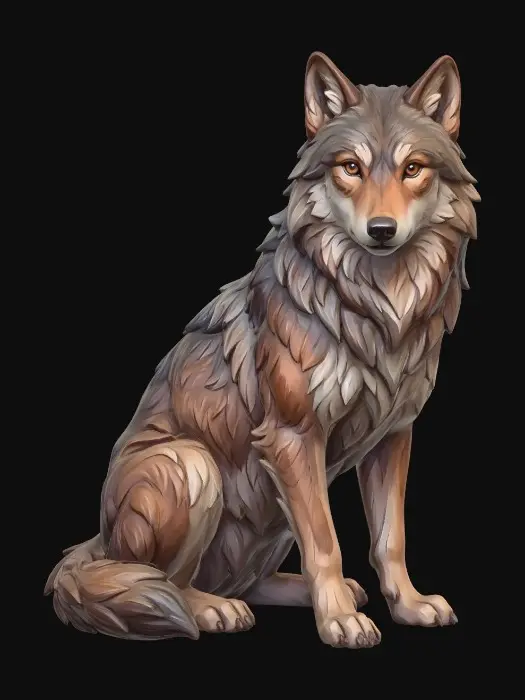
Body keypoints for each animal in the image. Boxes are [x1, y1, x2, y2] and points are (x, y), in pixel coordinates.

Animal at [45, 53, 478, 649]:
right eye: (351, 167)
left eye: (413, 168)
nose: (381, 230)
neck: (374, 305)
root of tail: (96, 542)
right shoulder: (293, 437)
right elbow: (326, 542)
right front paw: (339, 621)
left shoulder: (393, 436)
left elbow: (390, 539)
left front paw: (407, 605)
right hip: (191, 464)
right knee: (162, 579)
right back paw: (213, 609)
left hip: (267, 515)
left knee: (246, 579)